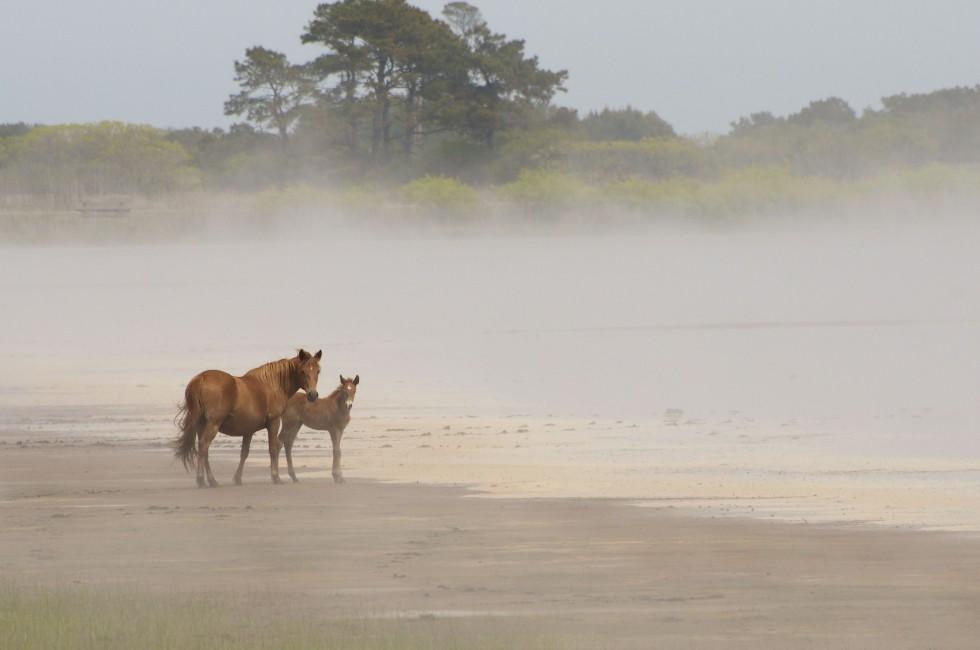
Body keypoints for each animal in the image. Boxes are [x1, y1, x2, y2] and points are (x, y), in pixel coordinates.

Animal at [173, 349, 322, 487]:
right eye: (302, 371)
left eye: (318, 371)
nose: (312, 395)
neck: (272, 385)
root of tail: (201, 378)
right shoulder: (274, 422)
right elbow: (273, 448)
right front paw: (276, 477)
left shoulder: (248, 430)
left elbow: (244, 453)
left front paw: (238, 478)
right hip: (213, 424)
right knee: (204, 446)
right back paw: (206, 480)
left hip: (201, 425)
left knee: (204, 450)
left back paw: (207, 480)